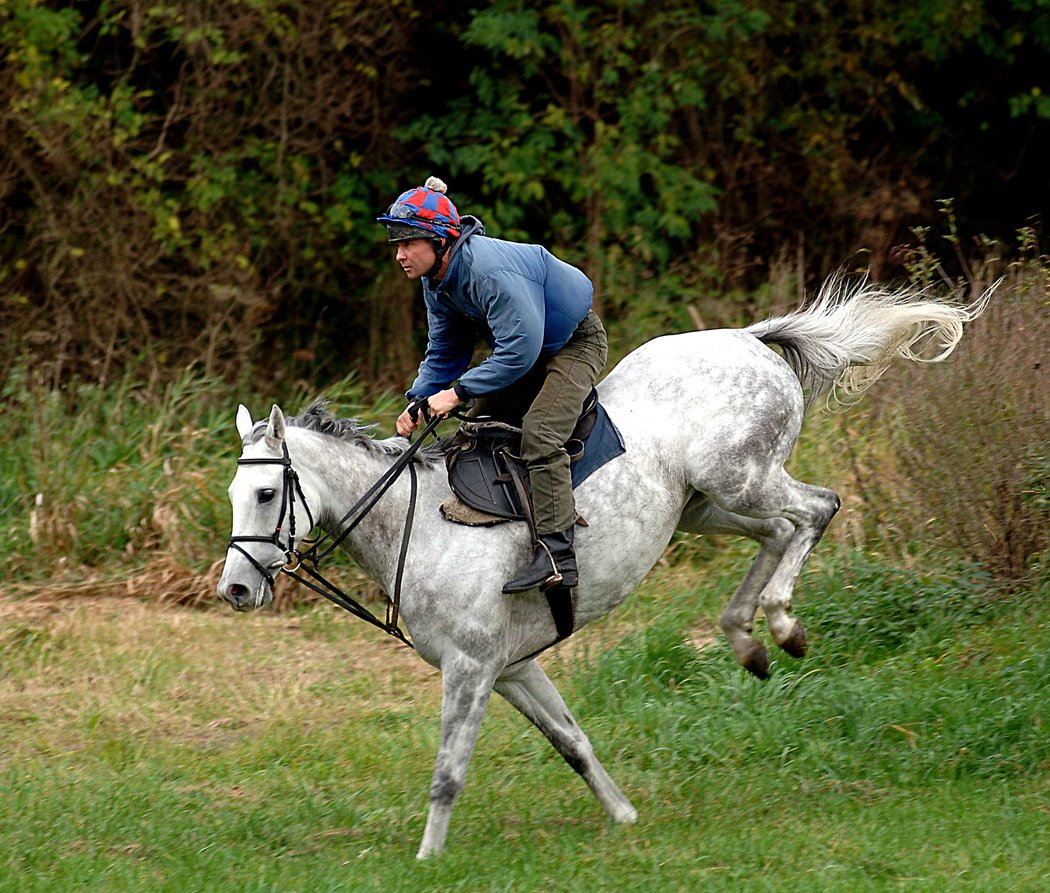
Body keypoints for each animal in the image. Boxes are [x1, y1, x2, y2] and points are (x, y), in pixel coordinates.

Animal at [217, 277, 986, 857]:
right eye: (231, 495)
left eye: (266, 494)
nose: (234, 589)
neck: (419, 521)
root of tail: (749, 338)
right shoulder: (513, 667)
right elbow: (572, 741)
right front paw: (624, 817)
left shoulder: (472, 667)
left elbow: (448, 773)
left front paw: (427, 859)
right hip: (704, 506)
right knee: (777, 531)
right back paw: (747, 638)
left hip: (739, 478)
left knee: (816, 510)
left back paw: (782, 623)